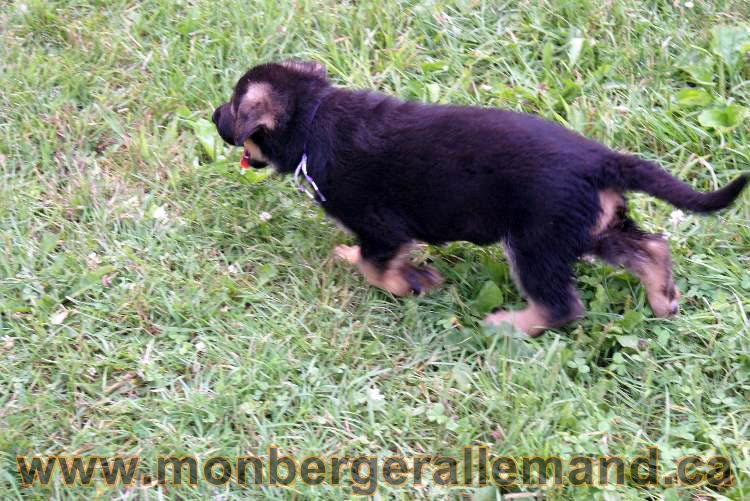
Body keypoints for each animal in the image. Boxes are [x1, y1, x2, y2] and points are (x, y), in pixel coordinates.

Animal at [210, 61, 748, 336]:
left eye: (233, 106)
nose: (214, 117)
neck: (313, 117)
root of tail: (601, 160)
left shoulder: (384, 228)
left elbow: (375, 265)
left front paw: (412, 283)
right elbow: (362, 254)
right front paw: (352, 255)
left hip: (535, 243)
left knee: (561, 306)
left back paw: (507, 325)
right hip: (590, 228)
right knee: (651, 247)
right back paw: (663, 300)